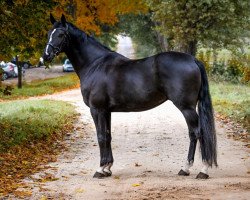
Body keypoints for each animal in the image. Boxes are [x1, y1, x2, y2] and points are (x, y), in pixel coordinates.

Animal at [42, 14, 217, 180]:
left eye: (61, 34)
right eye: (49, 33)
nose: (45, 57)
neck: (95, 64)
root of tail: (193, 60)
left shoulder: (96, 109)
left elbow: (100, 136)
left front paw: (100, 169)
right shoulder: (106, 111)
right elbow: (108, 135)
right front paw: (107, 168)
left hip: (186, 107)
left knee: (196, 133)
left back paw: (198, 169)